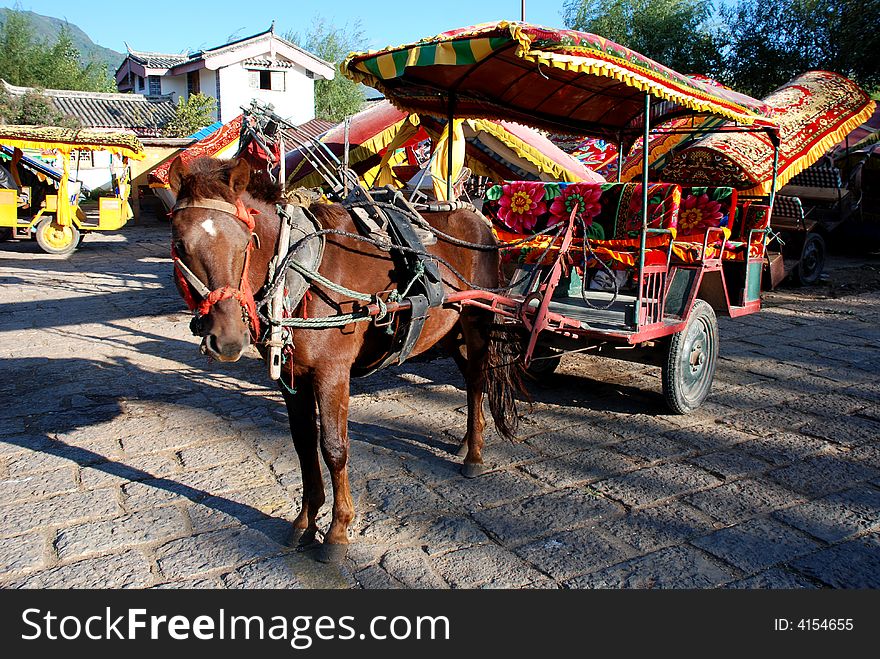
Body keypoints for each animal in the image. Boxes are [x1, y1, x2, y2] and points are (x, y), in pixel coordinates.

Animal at [168, 156, 520, 564]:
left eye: (245, 242)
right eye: (179, 244)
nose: (227, 339)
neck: (299, 270)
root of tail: (478, 217)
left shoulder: (332, 373)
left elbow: (334, 448)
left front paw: (337, 531)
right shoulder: (292, 378)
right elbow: (304, 443)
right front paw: (305, 521)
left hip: (477, 320)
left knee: (478, 380)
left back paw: (474, 455)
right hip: (450, 331)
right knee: (469, 382)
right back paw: (465, 442)